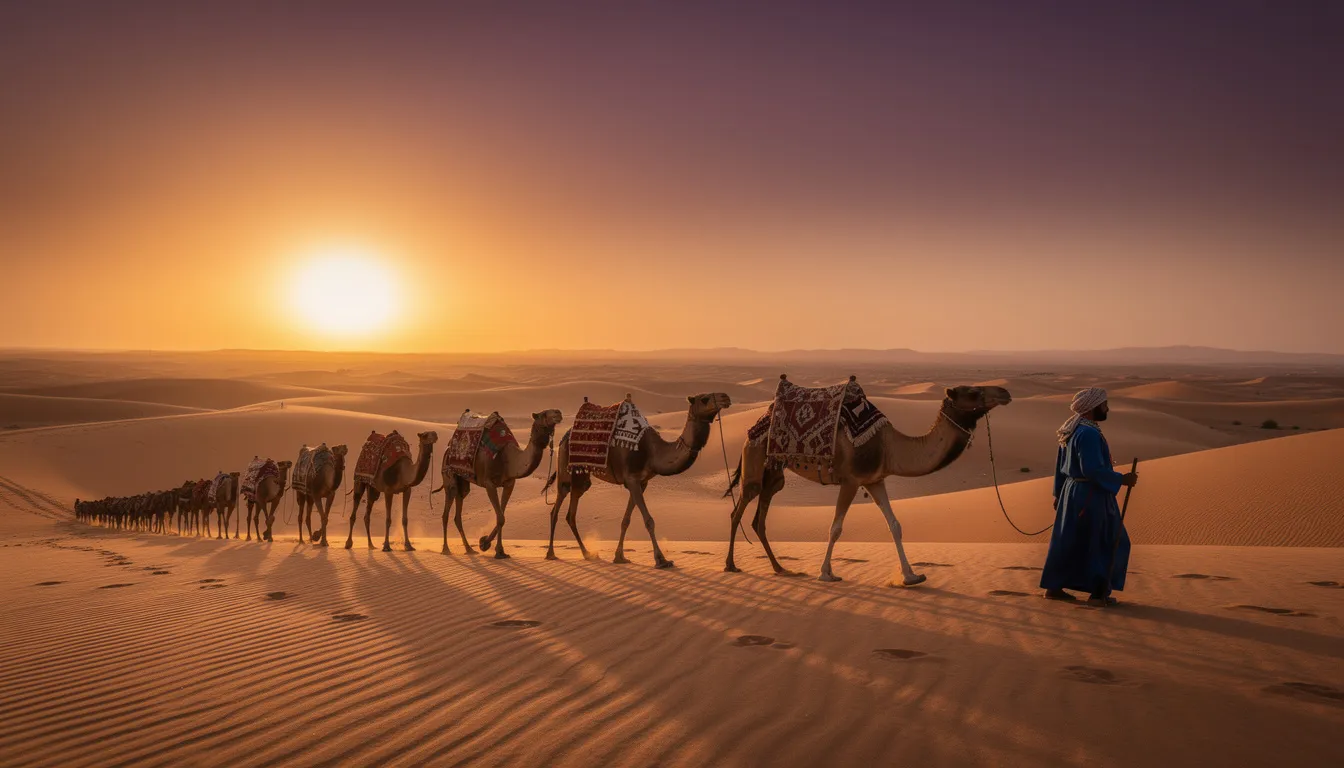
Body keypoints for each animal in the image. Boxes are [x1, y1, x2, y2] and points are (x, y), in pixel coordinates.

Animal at [432, 410, 563, 558]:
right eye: (544, 414)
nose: (558, 413)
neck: (509, 458)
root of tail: (448, 449)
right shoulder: (489, 483)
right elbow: (500, 518)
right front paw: (485, 544)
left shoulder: (509, 483)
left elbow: (502, 516)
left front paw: (498, 550)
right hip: (449, 475)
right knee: (446, 512)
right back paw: (446, 549)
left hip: (463, 482)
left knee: (458, 512)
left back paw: (469, 549)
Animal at [542, 393, 732, 567]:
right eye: (705, 399)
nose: (725, 397)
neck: (653, 452)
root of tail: (565, 437)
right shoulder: (632, 479)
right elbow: (649, 520)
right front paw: (661, 560)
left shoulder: (641, 483)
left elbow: (626, 520)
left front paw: (620, 557)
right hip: (566, 467)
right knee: (557, 507)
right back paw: (551, 554)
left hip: (581, 477)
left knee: (571, 512)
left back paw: (587, 553)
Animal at [723, 381, 1012, 584]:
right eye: (973, 392)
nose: (1005, 392)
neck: (889, 446)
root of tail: (755, 426)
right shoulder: (850, 480)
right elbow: (835, 528)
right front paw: (826, 573)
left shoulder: (875, 480)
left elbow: (895, 525)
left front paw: (911, 576)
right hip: (754, 459)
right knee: (738, 510)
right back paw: (731, 565)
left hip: (774, 474)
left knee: (759, 518)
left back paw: (779, 567)